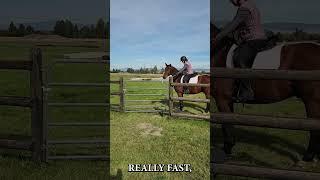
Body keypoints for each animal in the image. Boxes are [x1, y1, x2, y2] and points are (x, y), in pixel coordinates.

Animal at [211, 23, 320, 162]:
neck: (218, 52)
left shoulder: (222, 99)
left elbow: (226, 125)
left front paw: (227, 150)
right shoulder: (228, 100)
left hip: (312, 100)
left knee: (314, 127)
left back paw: (308, 157)